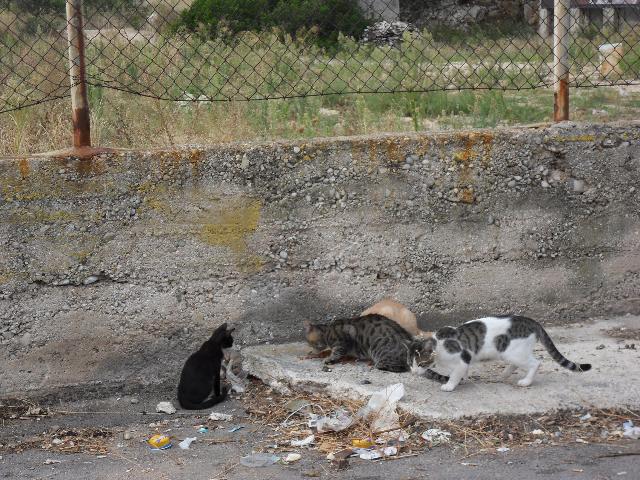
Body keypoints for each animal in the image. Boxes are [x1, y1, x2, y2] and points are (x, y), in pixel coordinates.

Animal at [416, 316, 592, 390]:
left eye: (419, 362)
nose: (415, 371)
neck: (438, 344)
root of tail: (532, 322)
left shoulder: (463, 358)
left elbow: (456, 373)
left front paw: (450, 385)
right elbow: (460, 373)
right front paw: (461, 379)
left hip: (513, 351)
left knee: (536, 363)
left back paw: (526, 381)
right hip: (511, 351)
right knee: (517, 364)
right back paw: (504, 374)